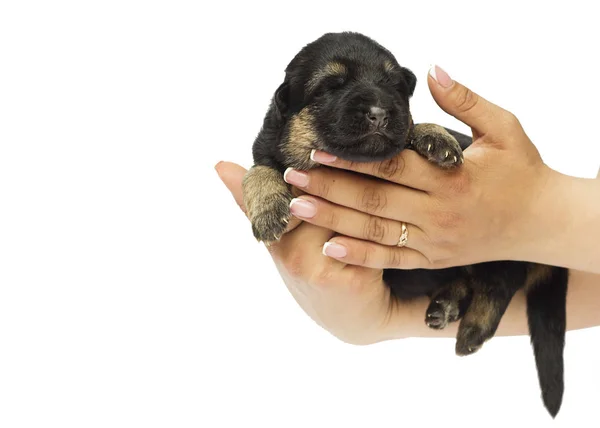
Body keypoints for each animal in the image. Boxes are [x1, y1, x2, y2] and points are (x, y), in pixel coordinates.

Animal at [243, 30, 568, 418]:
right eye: (330, 87)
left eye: (395, 86)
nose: (380, 112)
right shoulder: (267, 150)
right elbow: (258, 170)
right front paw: (268, 208)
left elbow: (415, 130)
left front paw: (435, 136)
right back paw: (447, 305)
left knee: (501, 281)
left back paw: (473, 329)